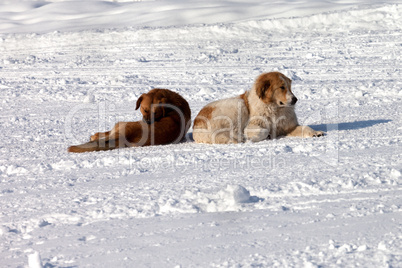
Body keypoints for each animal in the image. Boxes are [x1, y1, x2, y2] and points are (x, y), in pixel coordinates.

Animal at [193, 70, 326, 143]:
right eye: (282, 87)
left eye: (289, 87)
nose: (295, 99)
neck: (274, 109)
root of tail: (196, 124)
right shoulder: (252, 125)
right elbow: (264, 130)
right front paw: (256, 136)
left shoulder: (289, 127)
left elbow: (305, 127)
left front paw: (315, 132)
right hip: (238, 104)